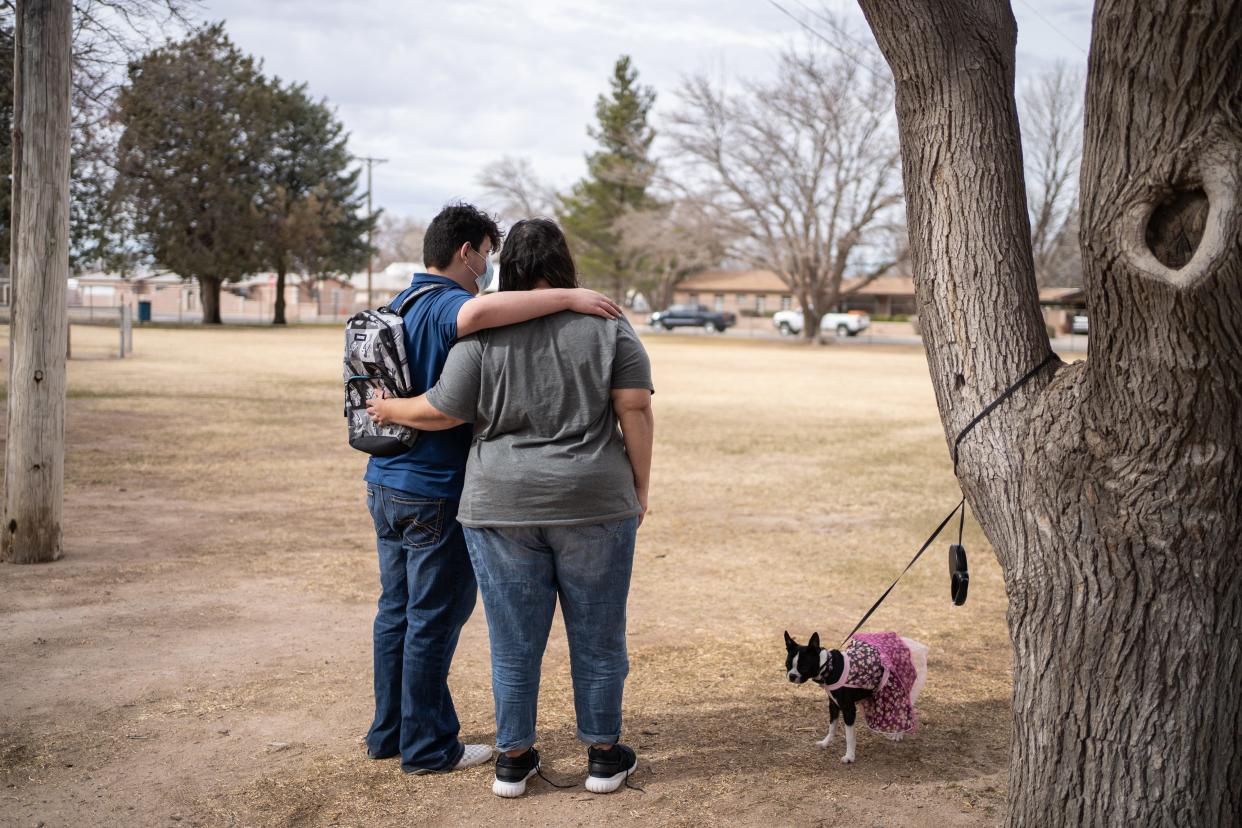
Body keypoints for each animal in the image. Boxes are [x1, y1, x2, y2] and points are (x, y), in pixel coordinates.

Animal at [779, 635, 929, 764]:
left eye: (804, 667)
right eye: (787, 664)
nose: (791, 675)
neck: (830, 667)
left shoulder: (848, 709)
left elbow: (849, 736)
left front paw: (849, 756)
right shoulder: (833, 705)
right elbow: (832, 727)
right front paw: (826, 743)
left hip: (900, 689)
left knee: (903, 710)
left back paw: (897, 734)